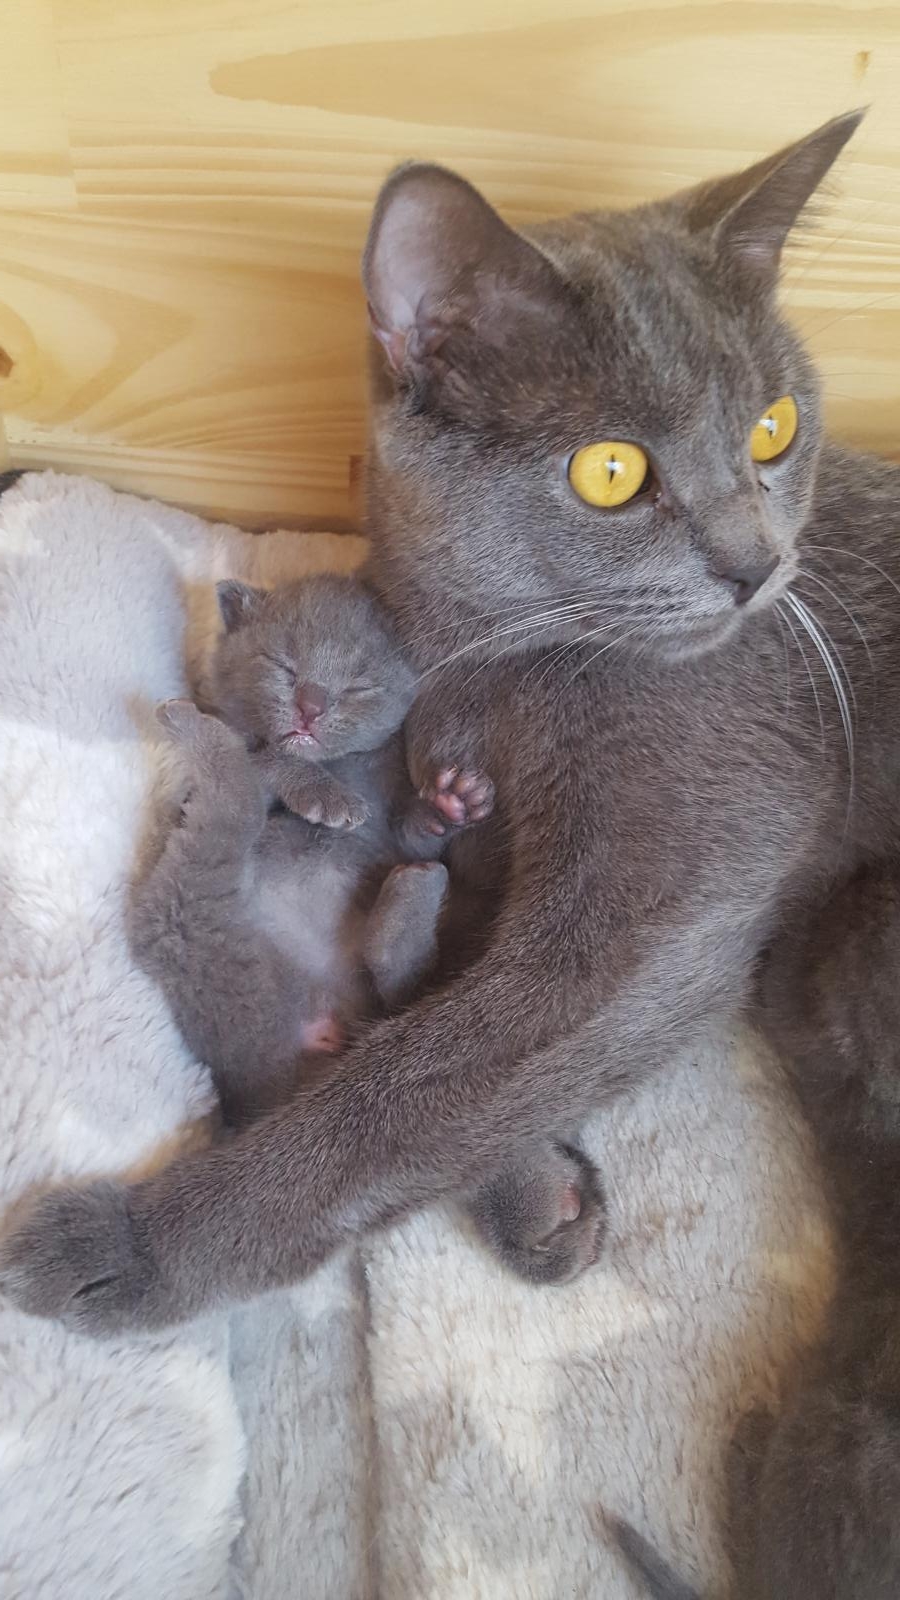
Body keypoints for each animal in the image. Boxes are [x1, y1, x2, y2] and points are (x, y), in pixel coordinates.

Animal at [1, 112, 896, 1331]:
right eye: (611, 471)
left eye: (775, 429)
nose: (758, 567)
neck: (494, 654)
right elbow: (444, 1030)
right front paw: (533, 1190)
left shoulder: (667, 895)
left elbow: (412, 1092)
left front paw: (139, 1245)